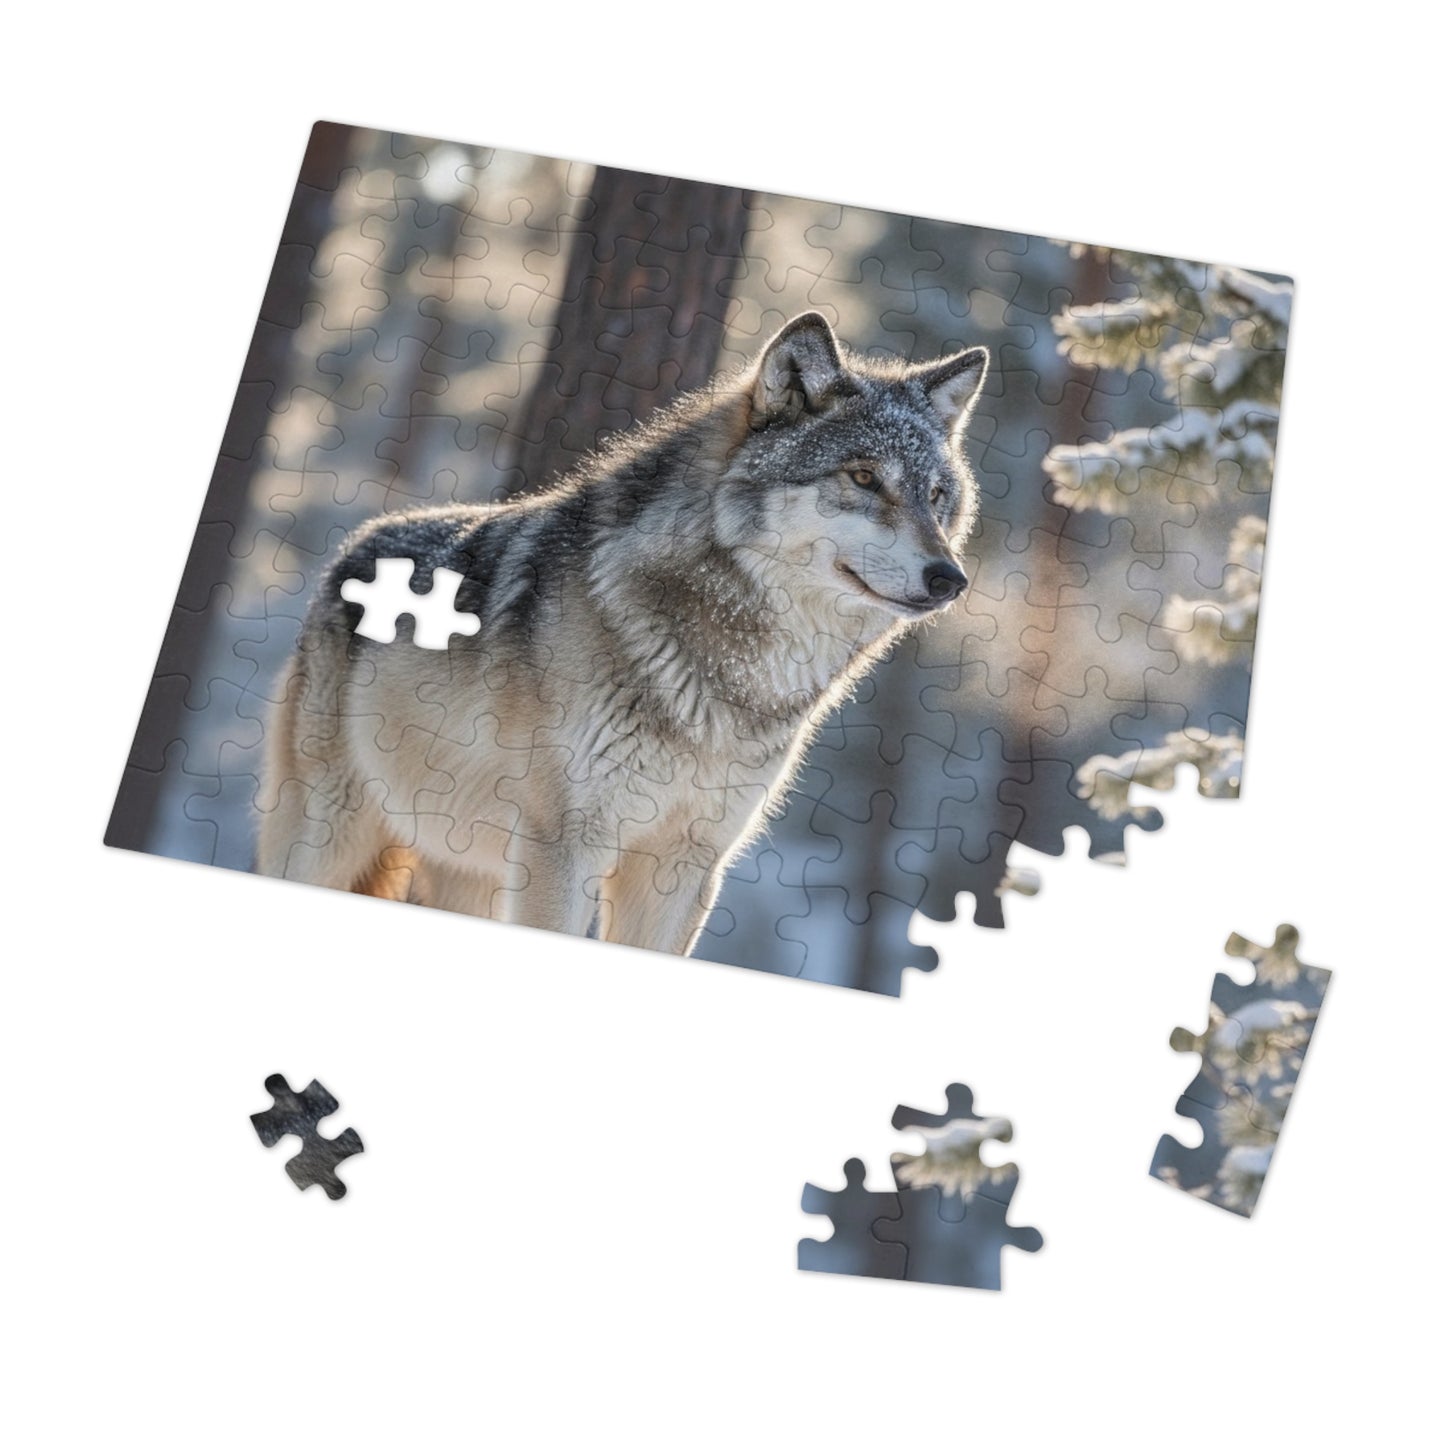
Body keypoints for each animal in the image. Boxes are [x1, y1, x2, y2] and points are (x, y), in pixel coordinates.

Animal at [257, 312, 988, 955]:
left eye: (935, 496)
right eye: (863, 477)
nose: (949, 579)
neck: (731, 677)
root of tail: (358, 542)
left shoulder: (683, 865)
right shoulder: (564, 847)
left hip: (465, 872)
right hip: (330, 838)